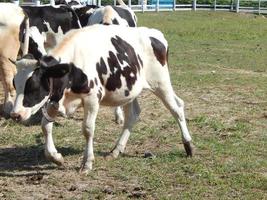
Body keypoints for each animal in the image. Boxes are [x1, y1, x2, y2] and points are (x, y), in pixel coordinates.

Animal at [11, 25, 195, 174]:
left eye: (33, 87)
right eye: (14, 83)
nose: (15, 115)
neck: (73, 64)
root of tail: (155, 34)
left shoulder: (92, 98)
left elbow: (87, 129)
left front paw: (87, 163)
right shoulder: (54, 99)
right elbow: (45, 126)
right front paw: (55, 157)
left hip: (161, 83)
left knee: (177, 109)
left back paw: (188, 146)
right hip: (130, 90)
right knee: (133, 115)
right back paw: (116, 150)